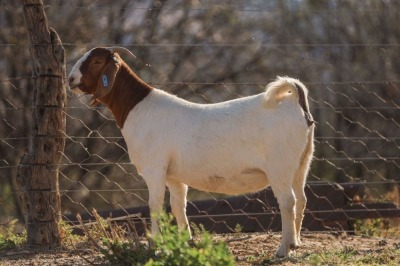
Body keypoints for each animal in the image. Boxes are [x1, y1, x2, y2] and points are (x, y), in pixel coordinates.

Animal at [68, 46, 316, 256]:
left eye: (97, 60)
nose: (70, 79)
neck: (136, 107)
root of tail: (296, 104)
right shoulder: (174, 176)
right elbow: (178, 206)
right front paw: (185, 241)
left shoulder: (154, 169)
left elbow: (155, 206)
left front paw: (154, 246)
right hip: (301, 163)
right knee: (302, 198)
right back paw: (296, 242)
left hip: (280, 166)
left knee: (288, 201)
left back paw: (283, 249)